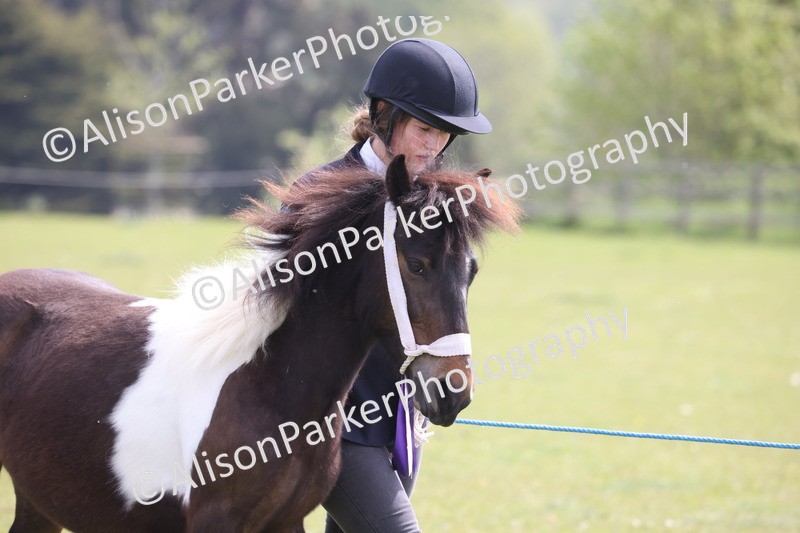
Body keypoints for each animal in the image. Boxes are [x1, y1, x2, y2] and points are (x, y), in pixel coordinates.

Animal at [0, 155, 520, 532]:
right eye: (416, 264)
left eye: (471, 271)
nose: (453, 391)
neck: (264, 385)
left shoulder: (286, 523)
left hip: (38, 500)